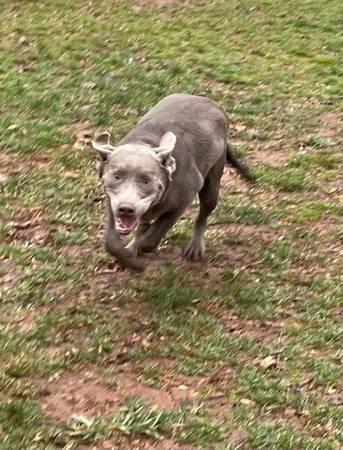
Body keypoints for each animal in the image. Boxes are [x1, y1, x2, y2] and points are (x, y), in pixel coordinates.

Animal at [91, 92, 253, 268]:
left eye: (146, 181)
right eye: (117, 176)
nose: (126, 209)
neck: (145, 144)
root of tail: (209, 102)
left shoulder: (179, 205)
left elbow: (150, 240)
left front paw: (134, 258)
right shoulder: (111, 202)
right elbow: (111, 242)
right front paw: (127, 255)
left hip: (213, 182)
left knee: (202, 215)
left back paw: (195, 248)